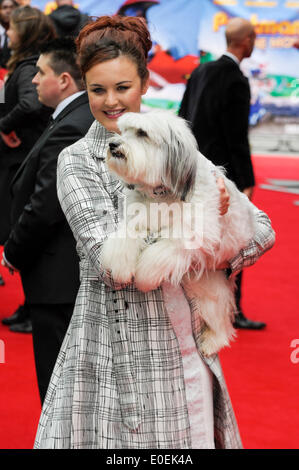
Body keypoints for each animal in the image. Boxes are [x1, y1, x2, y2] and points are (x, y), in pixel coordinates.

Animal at [100, 110, 258, 354]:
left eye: (142, 133)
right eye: (123, 130)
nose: (113, 144)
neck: (163, 193)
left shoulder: (193, 233)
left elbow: (162, 250)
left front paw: (144, 276)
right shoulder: (140, 217)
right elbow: (126, 235)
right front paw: (120, 265)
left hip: (211, 290)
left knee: (222, 320)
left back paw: (212, 342)